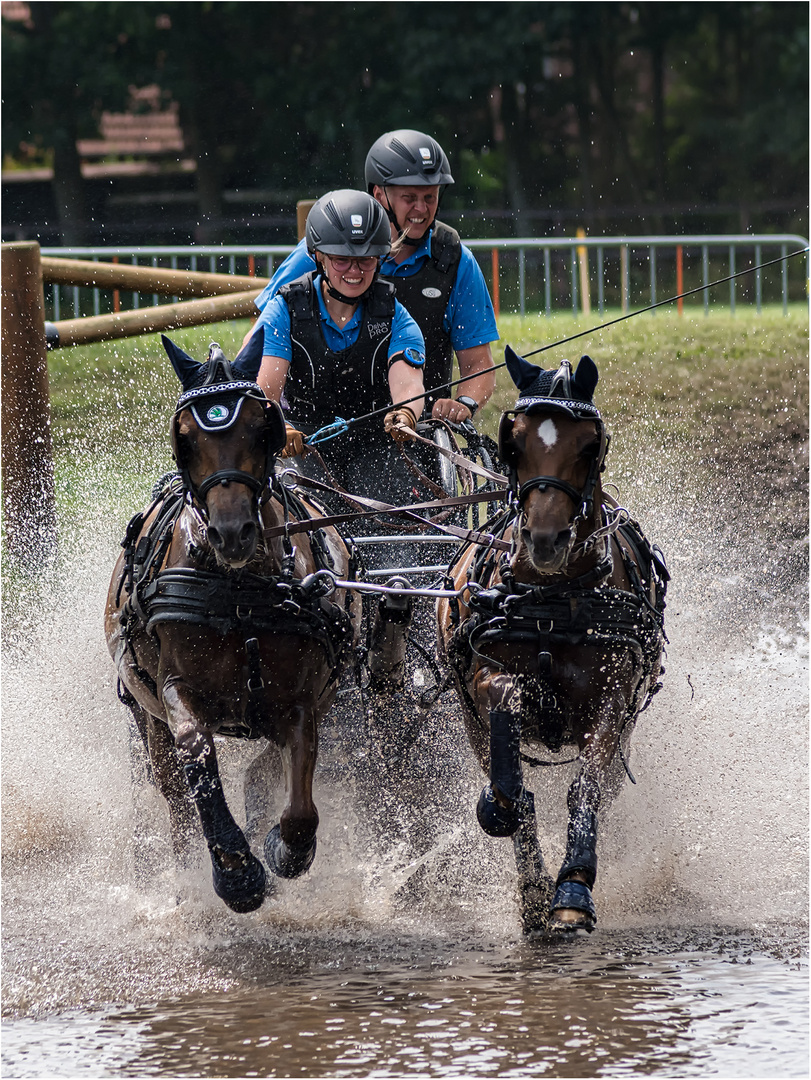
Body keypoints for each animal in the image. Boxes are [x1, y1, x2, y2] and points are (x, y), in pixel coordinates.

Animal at [106, 336, 360, 911]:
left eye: (261, 425)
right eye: (184, 437)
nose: (231, 533)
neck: (240, 592)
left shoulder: (301, 700)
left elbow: (299, 804)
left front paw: (282, 850)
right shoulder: (176, 691)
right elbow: (198, 760)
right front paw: (236, 873)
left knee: (262, 771)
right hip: (146, 717)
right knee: (175, 796)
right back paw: (186, 875)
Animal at [438, 349, 665, 933]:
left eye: (589, 447)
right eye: (513, 444)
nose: (544, 541)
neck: (552, 600)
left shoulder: (612, 696)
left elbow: (586, 787)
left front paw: (574, 889)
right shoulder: (486, 672)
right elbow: (508, 759)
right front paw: (500, 808)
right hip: (468, 721)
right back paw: (531, 886)